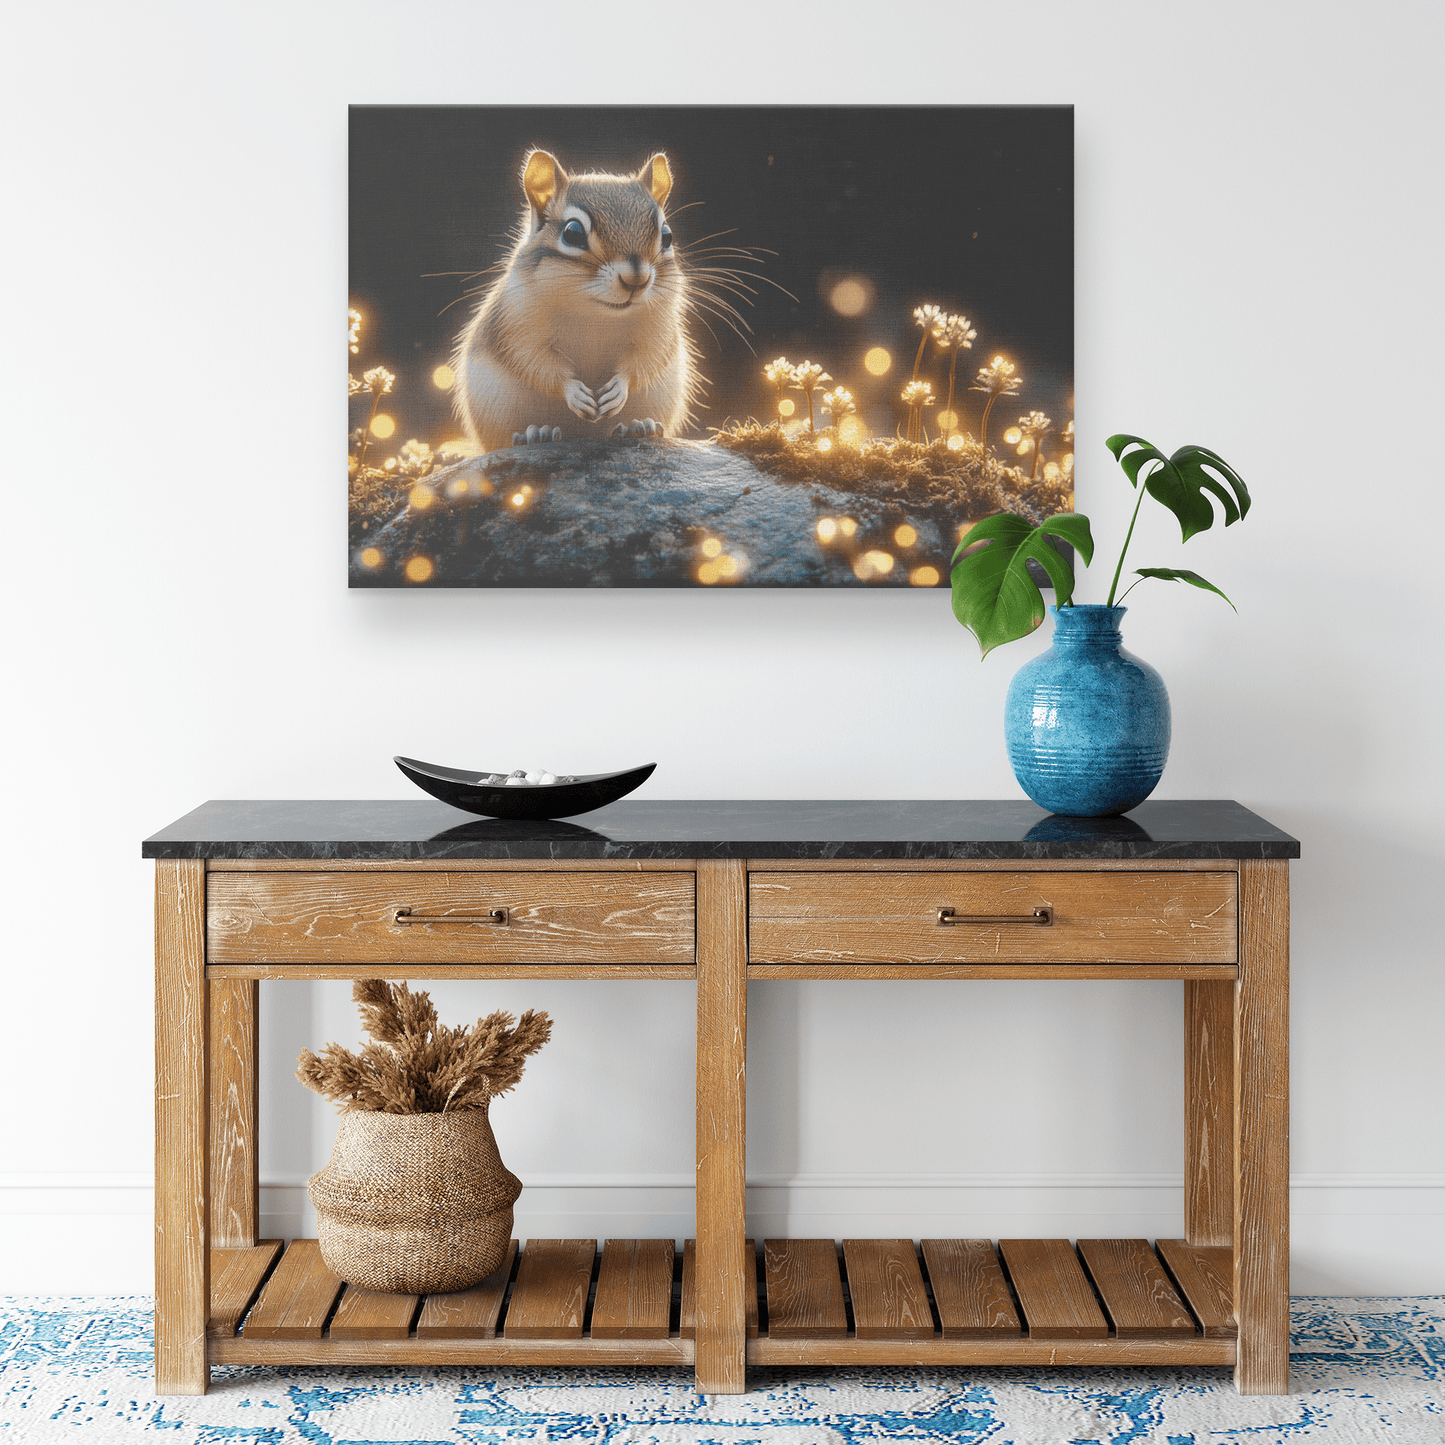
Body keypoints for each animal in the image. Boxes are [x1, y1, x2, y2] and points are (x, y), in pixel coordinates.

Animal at [452, 149, 700, 452]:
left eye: (667, 236)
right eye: (572, 233)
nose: (637, 280)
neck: (596, 313)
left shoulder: (658, 331)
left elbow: (645, 362)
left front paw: (619, 390)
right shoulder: (516, 326)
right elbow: (537, 365)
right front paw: (574, 392)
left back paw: (639, 426)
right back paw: (536, 433)